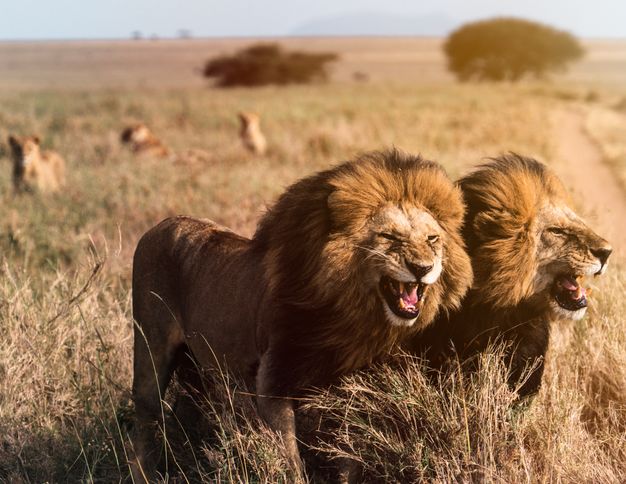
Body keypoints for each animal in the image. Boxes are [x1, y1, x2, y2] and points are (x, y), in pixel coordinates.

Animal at [129, 150, 470, 480]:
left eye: (432, 238)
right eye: (389, 236)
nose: (423, 268)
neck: (349, 318)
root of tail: (160, 224)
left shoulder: (348, 393)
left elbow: (349, 457)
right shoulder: (272, 383)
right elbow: (290, 460)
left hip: (195, 368)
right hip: (150, 351)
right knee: (145, 416)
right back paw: (144, 473)